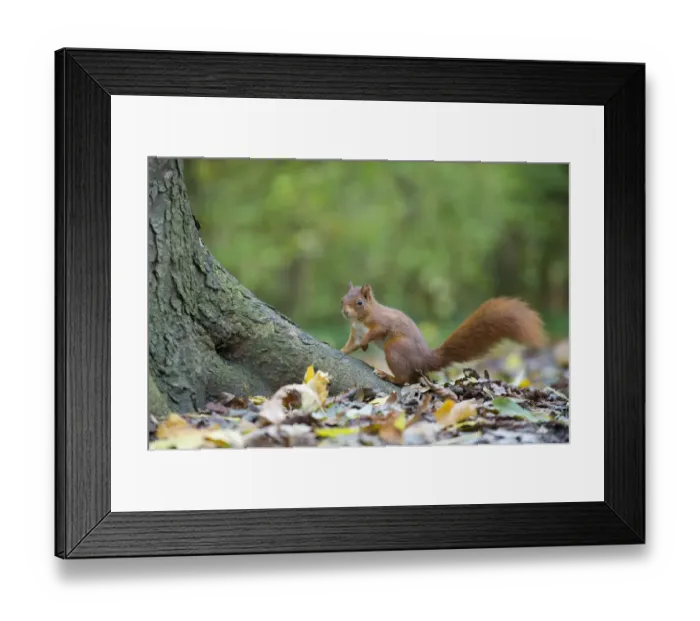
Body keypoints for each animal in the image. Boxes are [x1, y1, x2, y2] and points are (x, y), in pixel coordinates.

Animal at [340, 282, 546, 385]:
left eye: (359, 302)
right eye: (342, 299)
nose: (345, 312)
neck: (360, 320)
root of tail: (424, 360)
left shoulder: (382, 322)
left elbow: (377, 331)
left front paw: (366, 342)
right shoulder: (355, 333)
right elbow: (350, 346)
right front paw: (342, 351)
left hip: (395, 349)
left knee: (405, 379)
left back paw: (388, 376)